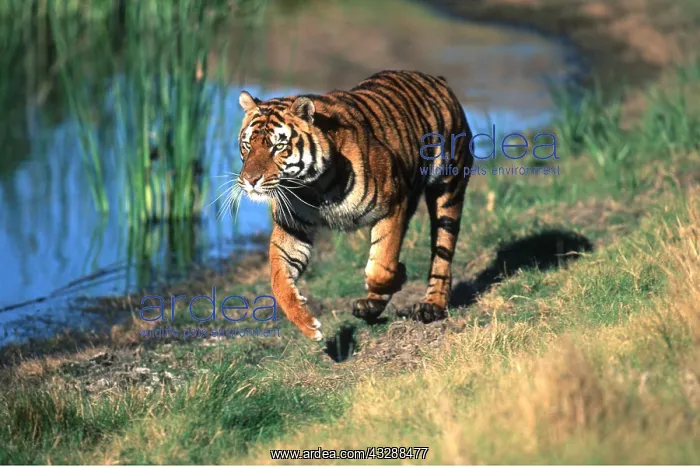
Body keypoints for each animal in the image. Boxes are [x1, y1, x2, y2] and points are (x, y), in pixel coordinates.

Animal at [235, 70, 474, 341]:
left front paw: (399, 273)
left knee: (442, 253)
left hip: (448, 189)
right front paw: (307, 324)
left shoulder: (394, 204)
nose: (250, 180)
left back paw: (431, 306)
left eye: (278, 146)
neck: (313, 187)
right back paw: (370, 306)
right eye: (247, 145)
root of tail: (436, 79)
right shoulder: (292, 227)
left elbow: (381, 267)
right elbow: (279, 279)